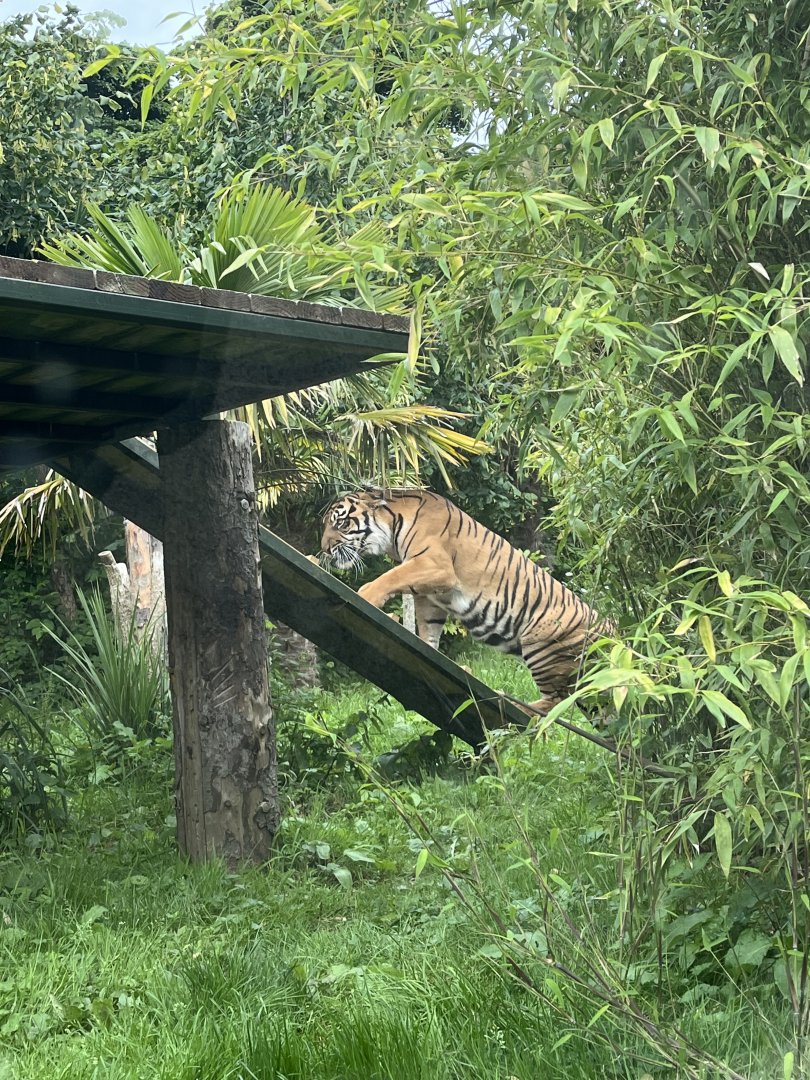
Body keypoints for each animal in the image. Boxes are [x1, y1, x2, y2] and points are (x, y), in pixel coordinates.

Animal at [319, 485, 614, 715]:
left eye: (341, 523)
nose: (324, 550)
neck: (392, 530)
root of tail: (612, 631)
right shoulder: (429, 596)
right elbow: (428, 630)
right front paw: (428, 651)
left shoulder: (434, 564)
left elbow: (390, 576)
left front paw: (366, 595)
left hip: (541, 648)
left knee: (556, 701)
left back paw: (513, 703)